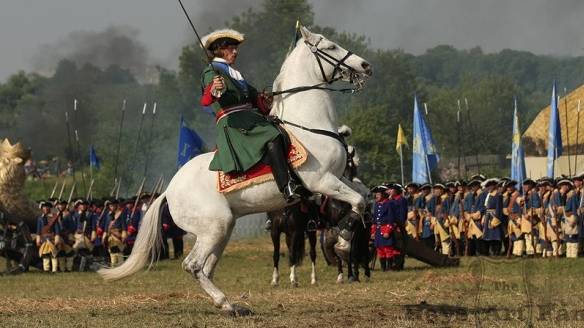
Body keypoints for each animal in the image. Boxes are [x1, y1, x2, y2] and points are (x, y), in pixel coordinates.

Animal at [99, 27, 374, 316]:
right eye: (330, 47)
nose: (365, 66)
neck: (309, 125)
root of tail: (169, 190)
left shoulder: (338, 178)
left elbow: (363, 195)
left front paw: (347, 234)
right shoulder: (321, 181)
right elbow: (356, 200)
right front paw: (343, 242)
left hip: (223, 229)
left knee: (206, 268)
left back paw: (231, 305)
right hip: (213, 228)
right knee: (193, 265)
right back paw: (225, 302)